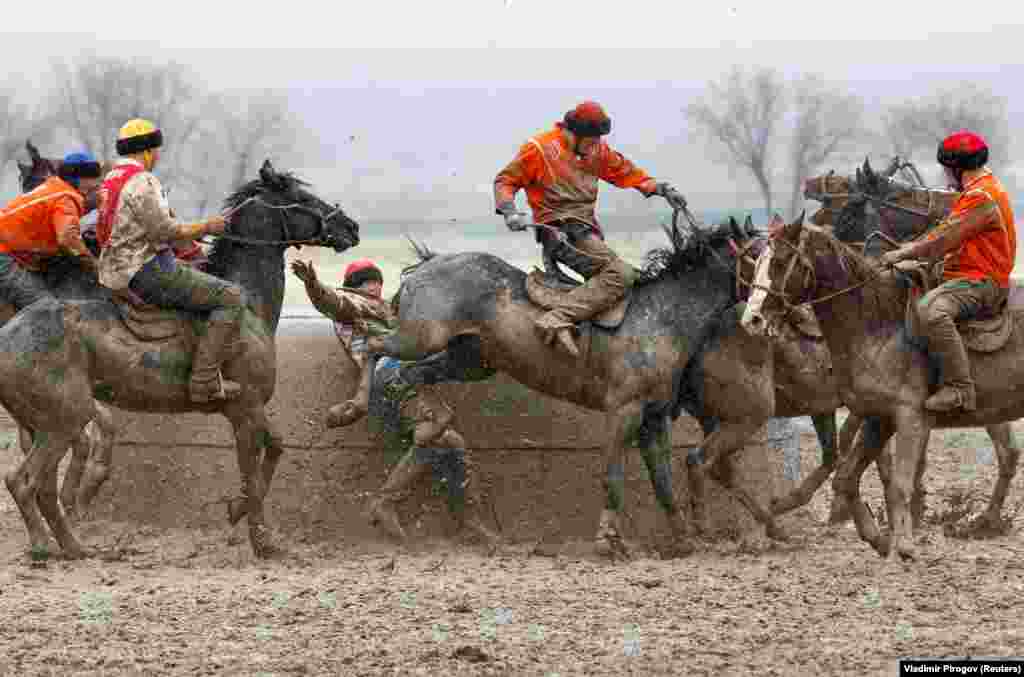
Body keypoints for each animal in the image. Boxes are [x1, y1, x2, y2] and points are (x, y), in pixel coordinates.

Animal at [0, 159, 362, 561]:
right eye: (300, 196)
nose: (351, 227)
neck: (248, 301)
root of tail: (9, 332)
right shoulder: (246, 409)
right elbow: (253, 475)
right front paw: (262, 540)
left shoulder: (248, 408)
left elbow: (277, 448)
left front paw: (237, 509)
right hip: (64, 420)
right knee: (25, 481)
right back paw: (45, 545)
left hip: (45, 423)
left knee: (41, 485)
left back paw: (72, 545)